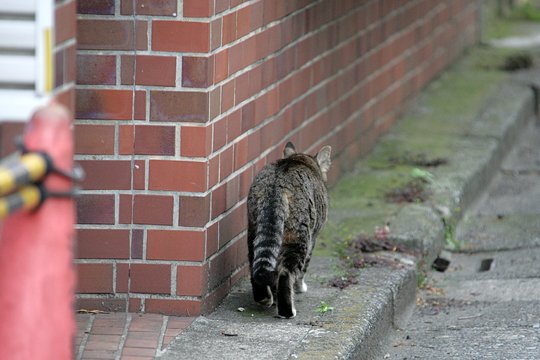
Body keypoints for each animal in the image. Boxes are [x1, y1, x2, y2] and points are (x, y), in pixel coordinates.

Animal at [247, 141, 332, 318]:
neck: (299, 159)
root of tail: (276, 185)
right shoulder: (313, 238)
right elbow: (303, 270)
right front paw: (299, 288)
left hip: (253, 230)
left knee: (255, 265)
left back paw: (264, 298)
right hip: (298, 237)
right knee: (286, 273)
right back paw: (287, 310)